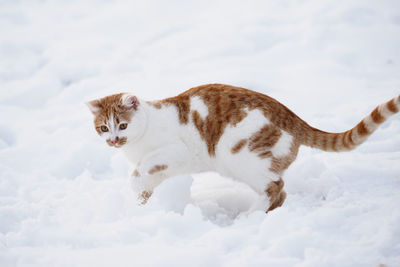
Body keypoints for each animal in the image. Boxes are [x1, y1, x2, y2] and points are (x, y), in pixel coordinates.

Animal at [86, 84, 398, 214]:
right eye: (103, 128)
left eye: (122, 125)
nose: (114, 140)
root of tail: (292, 117)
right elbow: (145, 184)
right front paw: (142, 203)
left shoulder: (175, 151)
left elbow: (141, 171)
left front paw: (137, 185)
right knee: (280, 191)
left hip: (237, 156)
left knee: (276, 187)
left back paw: (251, 216)